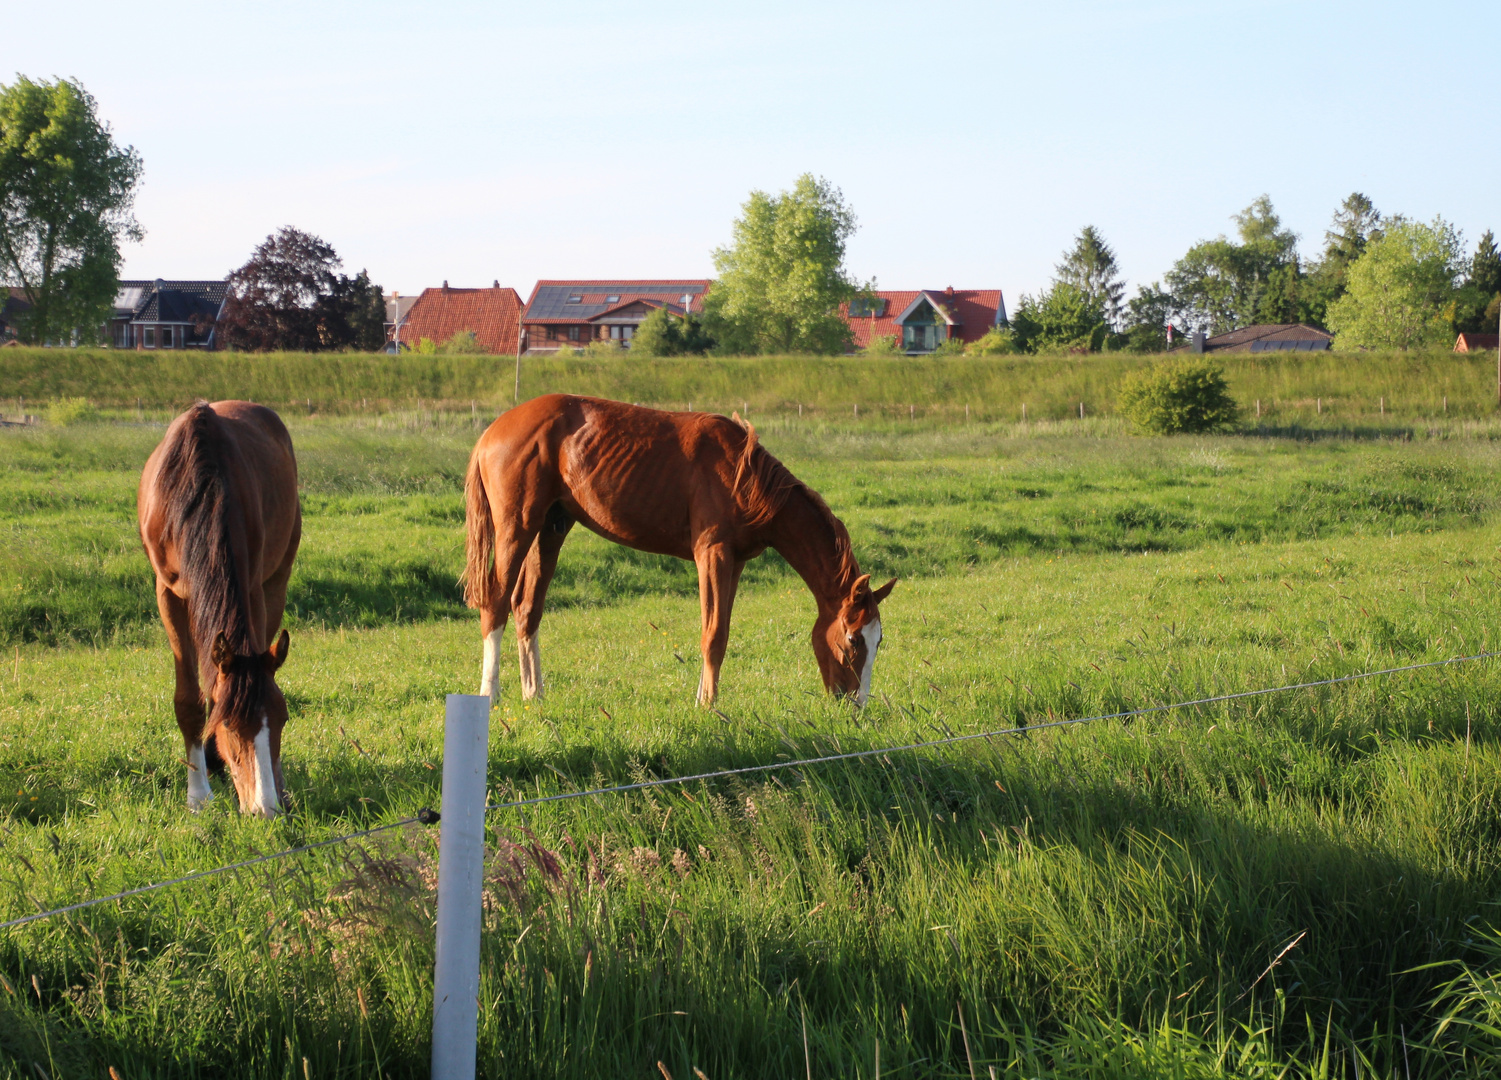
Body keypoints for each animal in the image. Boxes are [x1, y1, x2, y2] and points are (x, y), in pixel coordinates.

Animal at [140, 402, 301, 816]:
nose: (265, 809)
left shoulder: (252, 588)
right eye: (229, 725)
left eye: (283, 718)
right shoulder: (168, 593)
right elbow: (190, 700)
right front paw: (198, 794)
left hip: (276, 579)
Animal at [459, 396, 888, 708]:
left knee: (526, 608)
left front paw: (703, 698)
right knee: (496, 603)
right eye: (853, 640)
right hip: (517, 528)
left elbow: (720, 631)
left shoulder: (734, 563)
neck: (745, 477)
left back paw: (535, 695)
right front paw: (709, 707)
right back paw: (490, 695)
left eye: (879, 641)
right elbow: (713, 634)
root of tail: (492, 432)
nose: (856, 704)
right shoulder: (712, 554)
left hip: (550, 529)